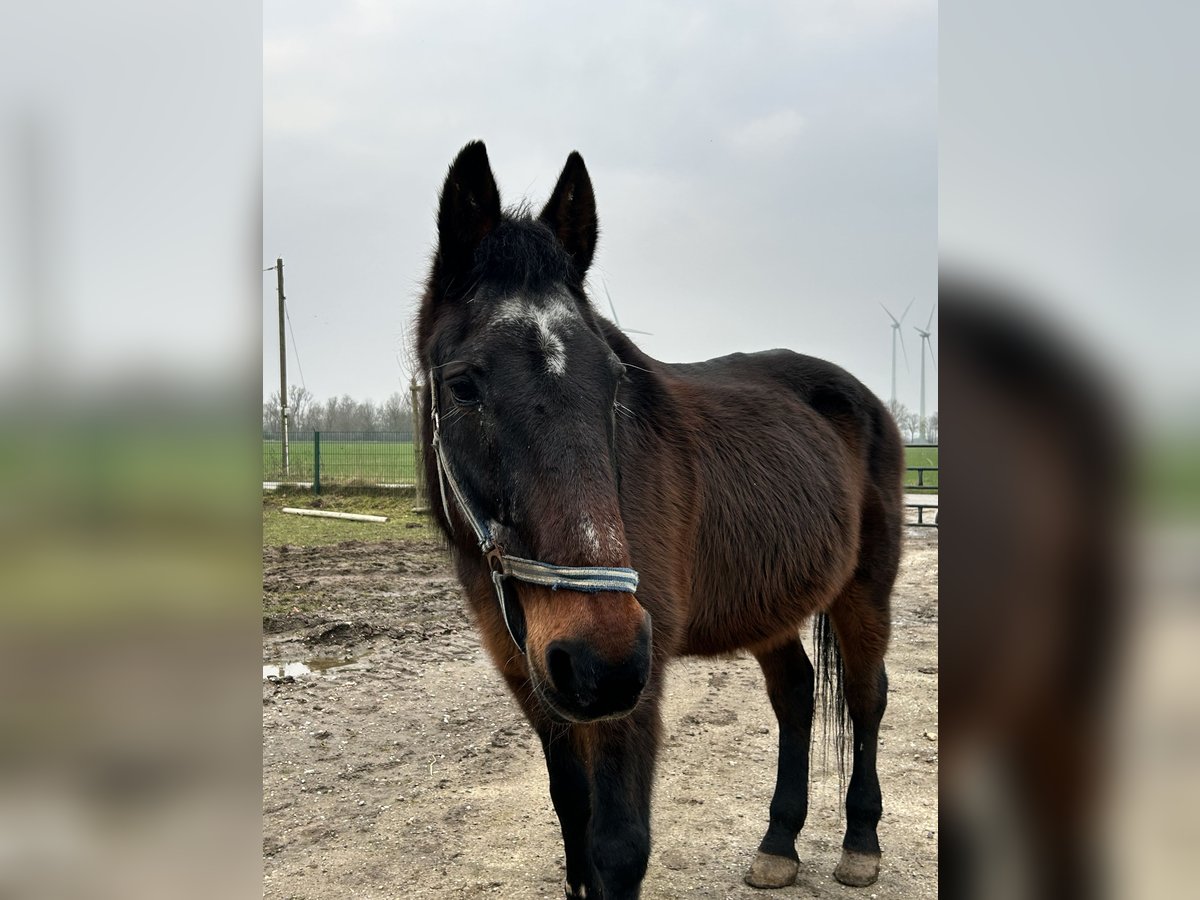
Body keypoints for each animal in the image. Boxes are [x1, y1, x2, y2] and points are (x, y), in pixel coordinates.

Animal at [417, 141, 902, 897]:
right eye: (463, 385)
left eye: (614, 380)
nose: (602, 655)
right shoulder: (537, 681)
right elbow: (573, 821)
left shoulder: (632, 695)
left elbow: (618, 846)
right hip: (766, 606)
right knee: (795, 694)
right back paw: (778, 845)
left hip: (865, 591)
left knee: (865, 696)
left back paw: (860, 842)